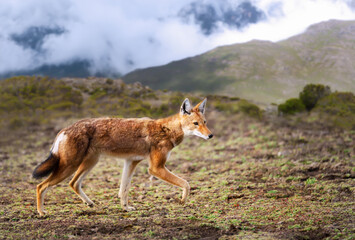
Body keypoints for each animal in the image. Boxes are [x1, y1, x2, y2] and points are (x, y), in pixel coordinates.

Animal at [32, 97, 213, 216]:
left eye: (205, 122)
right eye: (196, 124)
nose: (211, 135)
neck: (166, 130)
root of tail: (64, 129)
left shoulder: (131, 162)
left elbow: (123, 190)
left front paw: (125, 208)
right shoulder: (155, 168)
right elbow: (186, 183)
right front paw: (182, 200)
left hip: (89, 163)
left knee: (73, 183)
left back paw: (90, 203)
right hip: (70, 166)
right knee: (41, 186)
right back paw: (42, 212)